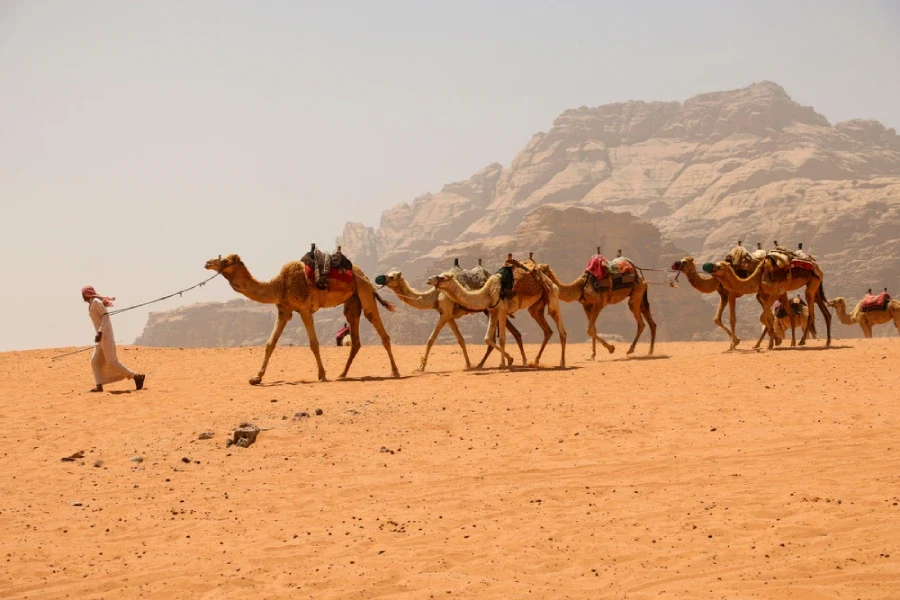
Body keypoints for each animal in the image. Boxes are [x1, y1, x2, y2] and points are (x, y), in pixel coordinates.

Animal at [209, 253, 400, 384]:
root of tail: (365, 276)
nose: (208, 263)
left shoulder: (304, 309)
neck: (280, 285)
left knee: (379, 328)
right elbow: (270, 343)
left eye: (225, 261)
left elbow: (314, 343)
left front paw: (322, 375)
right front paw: (256, 377)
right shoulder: (284, 311)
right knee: (355, 339)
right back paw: (342, 374)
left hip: (364, 290)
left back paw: (396, 372)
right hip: (352, 302)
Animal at [374, 270, 528, 370]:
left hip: (491, 310)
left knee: (509, 334)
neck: (435, 296)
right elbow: (461, 340)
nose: (379, 278)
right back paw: (485, 364)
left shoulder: (445, 314)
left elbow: (431, 339)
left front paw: (421, 367)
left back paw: (513, 361)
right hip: (490, 311)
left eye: (392, 276)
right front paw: (468, 364)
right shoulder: (449, 317)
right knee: (514, 333)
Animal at [428, 258, 568, 368]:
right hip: (537, 307)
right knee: (547, 330)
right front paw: (509, 360)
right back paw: (535, 361)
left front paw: (503, 364)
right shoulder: (493, 312)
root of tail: (549, 280)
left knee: (561, 330)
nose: (429, 279)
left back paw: (561, 363)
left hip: (552, 296)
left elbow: (501, 339)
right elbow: (487, 338)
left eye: (442, 277)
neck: (488, 293)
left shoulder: (502, 311)